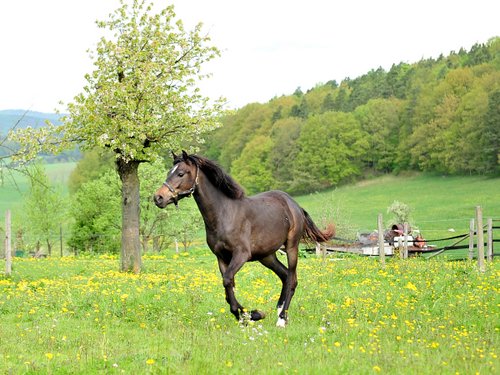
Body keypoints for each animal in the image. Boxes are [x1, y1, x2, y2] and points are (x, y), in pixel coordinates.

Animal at [152, 151, 332, 328]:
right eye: (169, 172)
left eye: (181, 173)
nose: (158, 198)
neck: (224, 214)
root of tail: (295, 205)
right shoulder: (222, 258)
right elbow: (229, 287)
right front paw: (246, 316)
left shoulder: (241, 254)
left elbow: (227, 281)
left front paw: (253, 314)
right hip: (267, 256)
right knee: (285, 276)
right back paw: (279, 311)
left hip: (291, 247)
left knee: (292, 279)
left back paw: (282, 319)